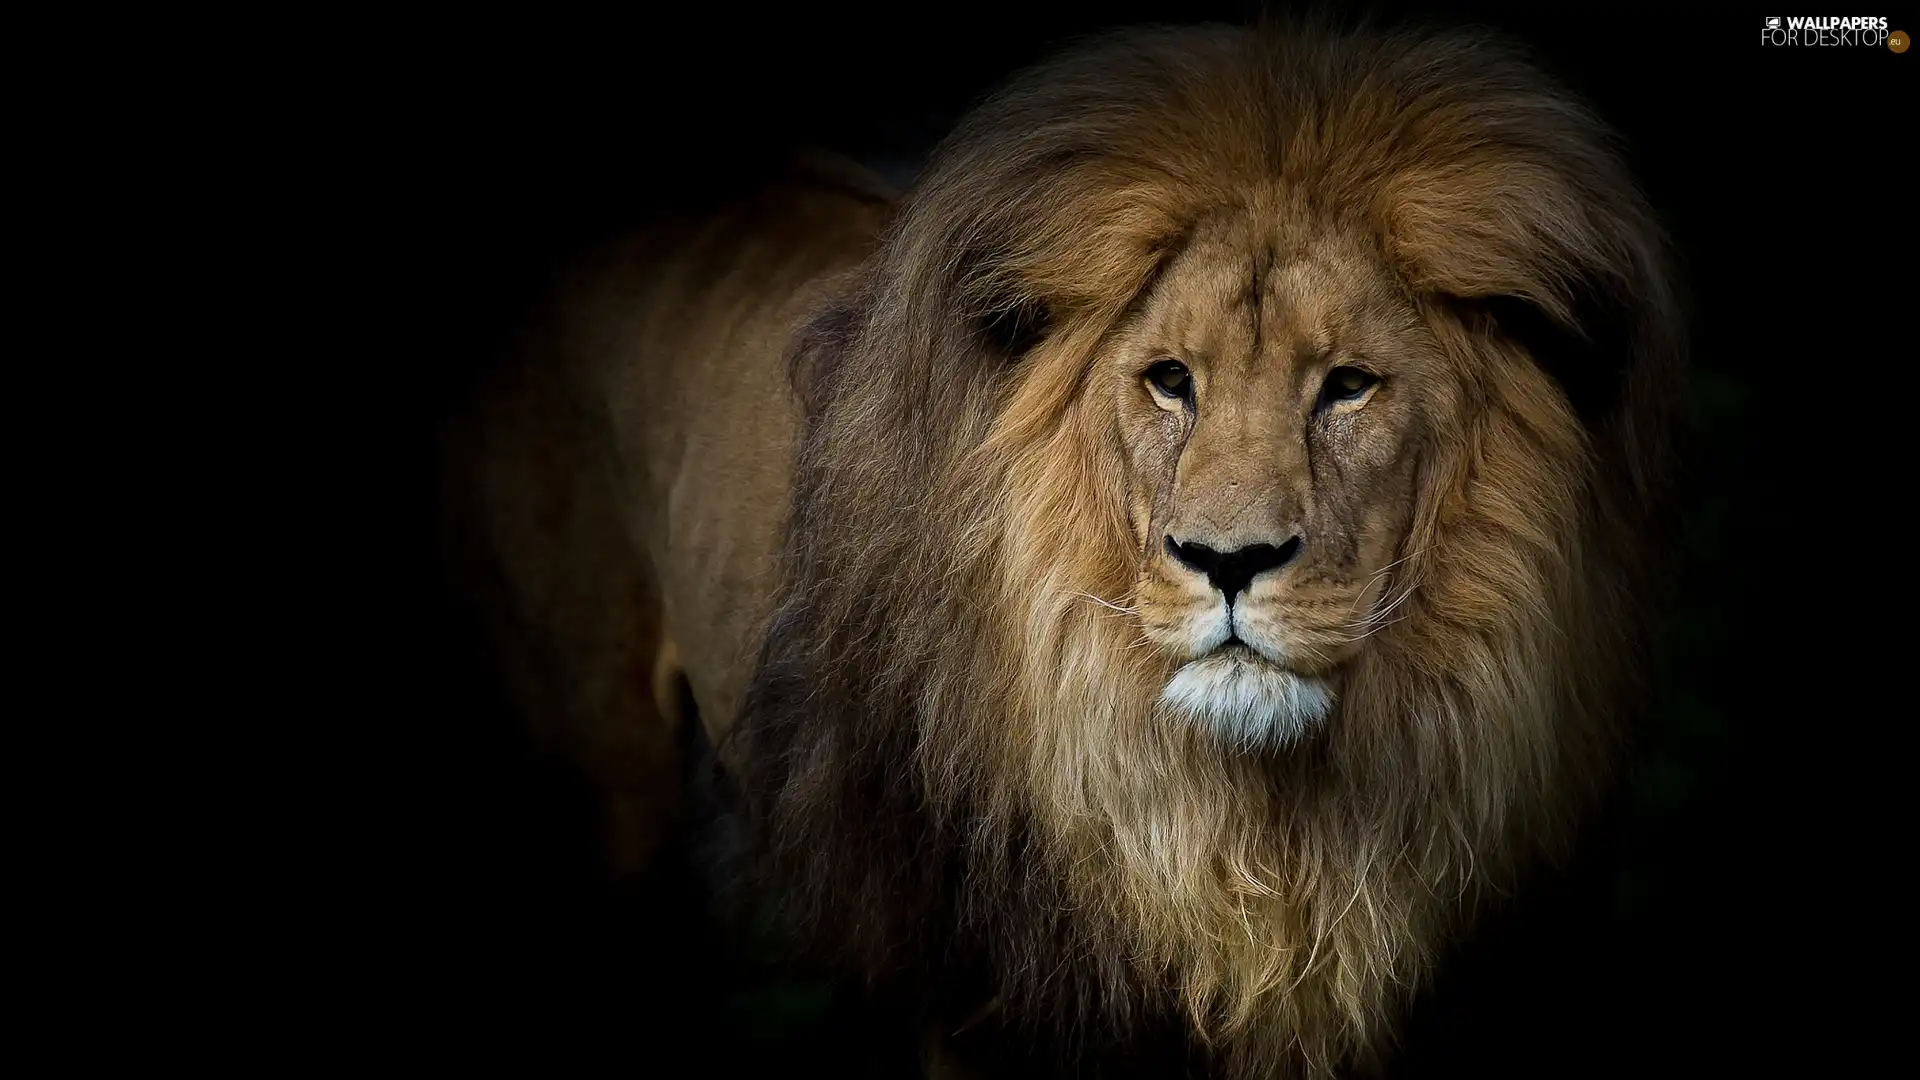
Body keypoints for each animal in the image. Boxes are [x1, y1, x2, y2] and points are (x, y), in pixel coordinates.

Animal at [439, 18, 1681, 1076]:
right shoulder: (979, 1006)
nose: (1229, 561)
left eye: (1349, 387)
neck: (1265, 852)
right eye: (1169, 380)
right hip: (600, 780)